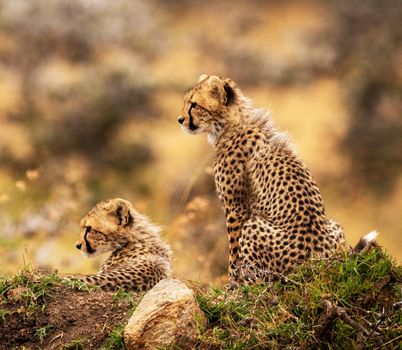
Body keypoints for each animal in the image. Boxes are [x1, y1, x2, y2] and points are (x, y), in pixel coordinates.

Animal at [177, 75, 376, 284]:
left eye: (194, 104)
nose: (180, 120)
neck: (232, 124)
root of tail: (319, 260)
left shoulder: (236, 208)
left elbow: (233, 251)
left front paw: (232, 282)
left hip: (254, 226)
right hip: (334, 225)